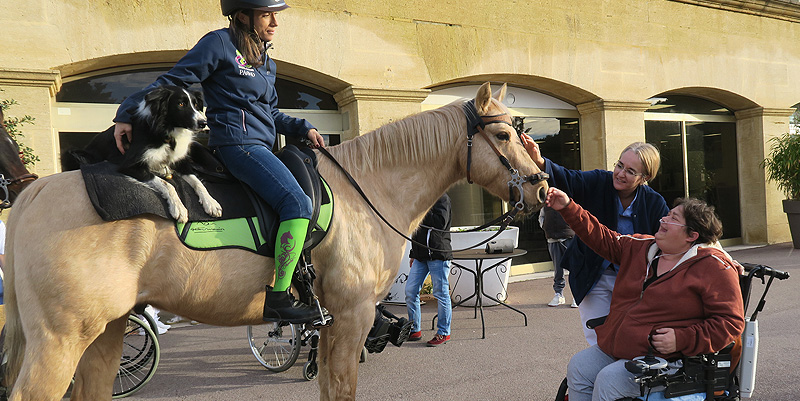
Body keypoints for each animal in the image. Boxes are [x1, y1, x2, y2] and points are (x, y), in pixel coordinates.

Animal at [2, 82, 549, 400]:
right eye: (504, 136)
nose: (542, 188)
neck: (367, 189)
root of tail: (32, 193)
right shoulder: (352, 316)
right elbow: (342, 389)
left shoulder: (333, 324)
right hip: (61, 341)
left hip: (107, 330)